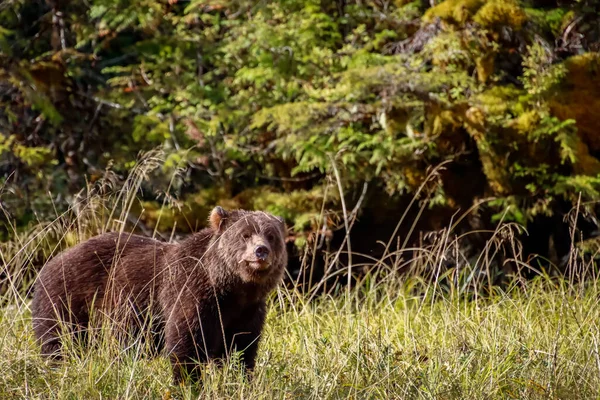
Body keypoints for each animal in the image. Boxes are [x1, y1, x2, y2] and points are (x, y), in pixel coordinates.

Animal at [30, 208, 288, 382]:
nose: (261, 251)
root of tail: (51, 262)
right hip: (70, 299)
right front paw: (188, 383)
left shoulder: (248, 310)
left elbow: (242, 349)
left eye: (271, 236)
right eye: (245, 234)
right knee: (60, 342)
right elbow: (187, 344)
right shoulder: (191, 294)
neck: (232, 288)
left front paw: (239, 379)